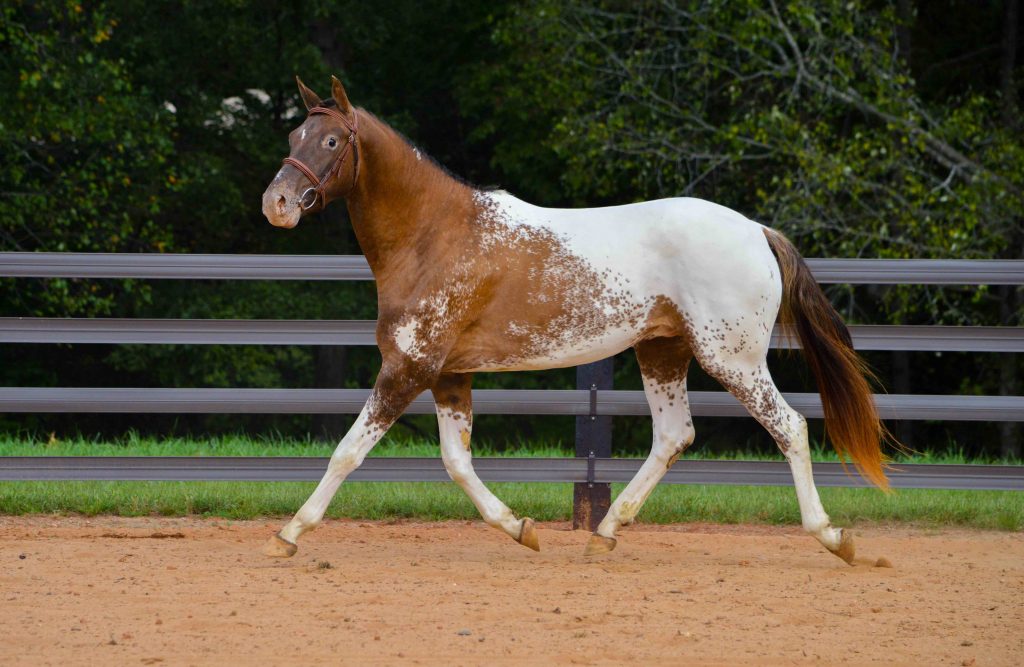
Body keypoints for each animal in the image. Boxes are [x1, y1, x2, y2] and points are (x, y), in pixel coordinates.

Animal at [258, 74, 888, 565]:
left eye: (332, 139)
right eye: (292, 137)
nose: (277, 204)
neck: (435, 236)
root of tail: (756, 230)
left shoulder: (408, 368)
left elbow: (348, 452)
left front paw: (289, 534)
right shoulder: (448, 375)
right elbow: (457, 463)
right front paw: (520, 528)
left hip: (732, 359)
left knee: (790, 427)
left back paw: (833, 537)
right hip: (662, 352)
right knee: (673, 435)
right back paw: (605, 533)